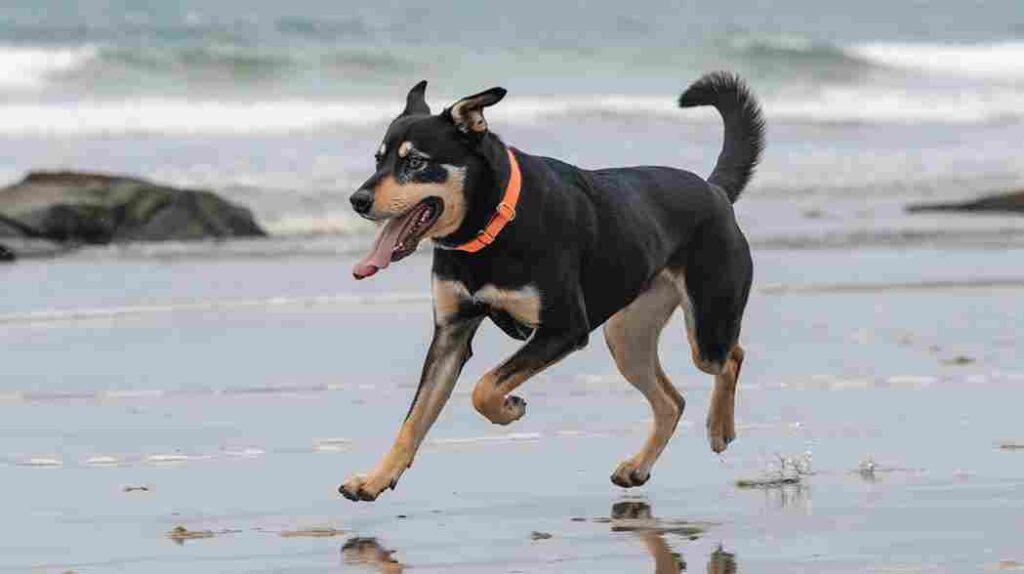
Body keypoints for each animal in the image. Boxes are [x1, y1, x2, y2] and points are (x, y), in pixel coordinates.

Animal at [339, 72, 765, 501]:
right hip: (627, 336)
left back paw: (719, 428)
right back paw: (638, 467)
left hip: (706, 328)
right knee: (672, 401)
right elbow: (414, 418)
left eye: (415, 162)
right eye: (378, 160)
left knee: (732, 356)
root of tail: (715, 191)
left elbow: (485, 386)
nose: (357, 200)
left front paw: (508, 409)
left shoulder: (564, 329)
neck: (491, 224)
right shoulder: (451, 334)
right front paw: (376, 478)